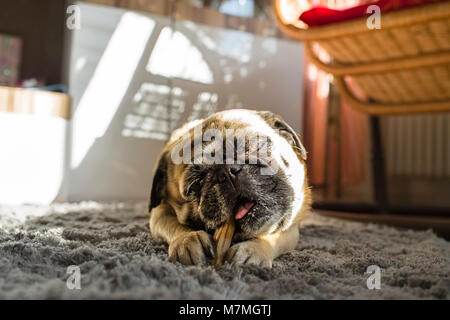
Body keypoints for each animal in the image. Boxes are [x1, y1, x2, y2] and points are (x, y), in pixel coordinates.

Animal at [148, 109, 310, 268]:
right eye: (196, 183)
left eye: (254, 147)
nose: (226, 171)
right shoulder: (158, 212)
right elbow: (171, 223)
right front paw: (187, 238)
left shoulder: (291, 229)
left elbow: (272, 236)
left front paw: (253, 248)